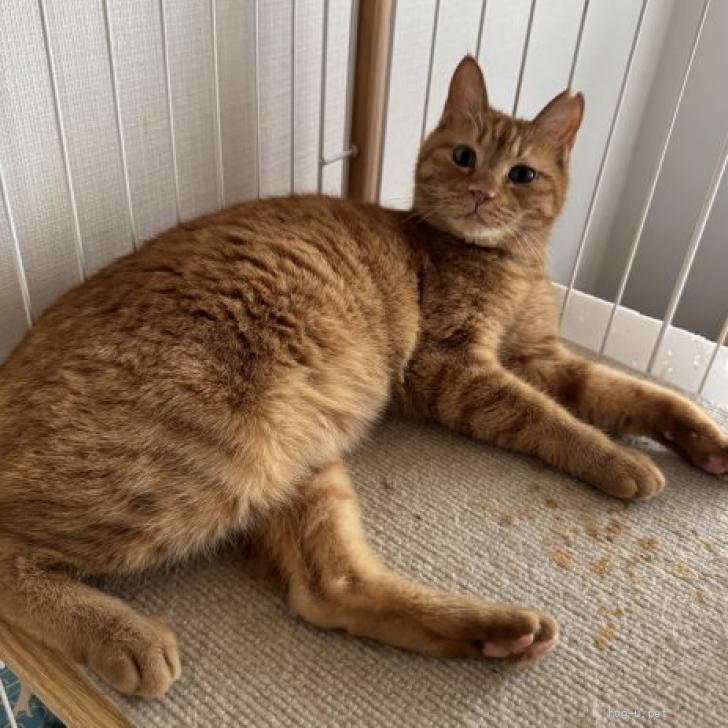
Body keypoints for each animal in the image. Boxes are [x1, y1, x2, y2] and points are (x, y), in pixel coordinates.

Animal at [1, 56, 726, 698]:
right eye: (464, 156)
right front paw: (617, 460)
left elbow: (631, 393)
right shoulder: (455, 368)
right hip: (206, 463)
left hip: (296, 458)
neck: (509, 261)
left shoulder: (543, 357)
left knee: (329, 590)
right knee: (9, 553)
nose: (481, 192)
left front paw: (702, 439)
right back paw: (122, 635)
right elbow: (552, 419)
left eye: (521, 173)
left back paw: (495, 631)